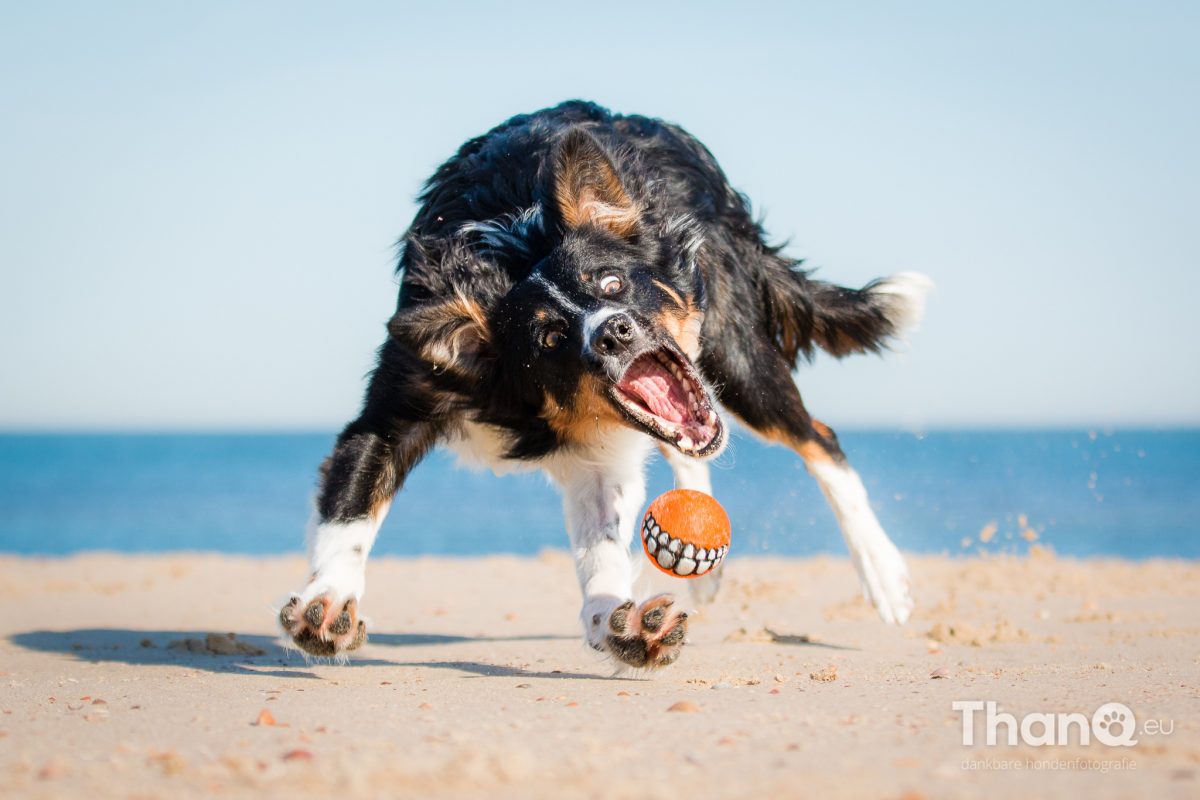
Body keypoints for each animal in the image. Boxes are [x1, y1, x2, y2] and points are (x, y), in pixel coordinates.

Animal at [278, 100, 926, 671]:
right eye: (548, 338)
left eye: (612, 282)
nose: (614, 331)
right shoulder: (402, 402)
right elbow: (351, 512)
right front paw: (328, 599)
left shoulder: (600, 456)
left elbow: (604, 542)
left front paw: (618, 617)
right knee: (700, 451)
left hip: (734, 356)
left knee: (819, 436)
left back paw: (881, 571)